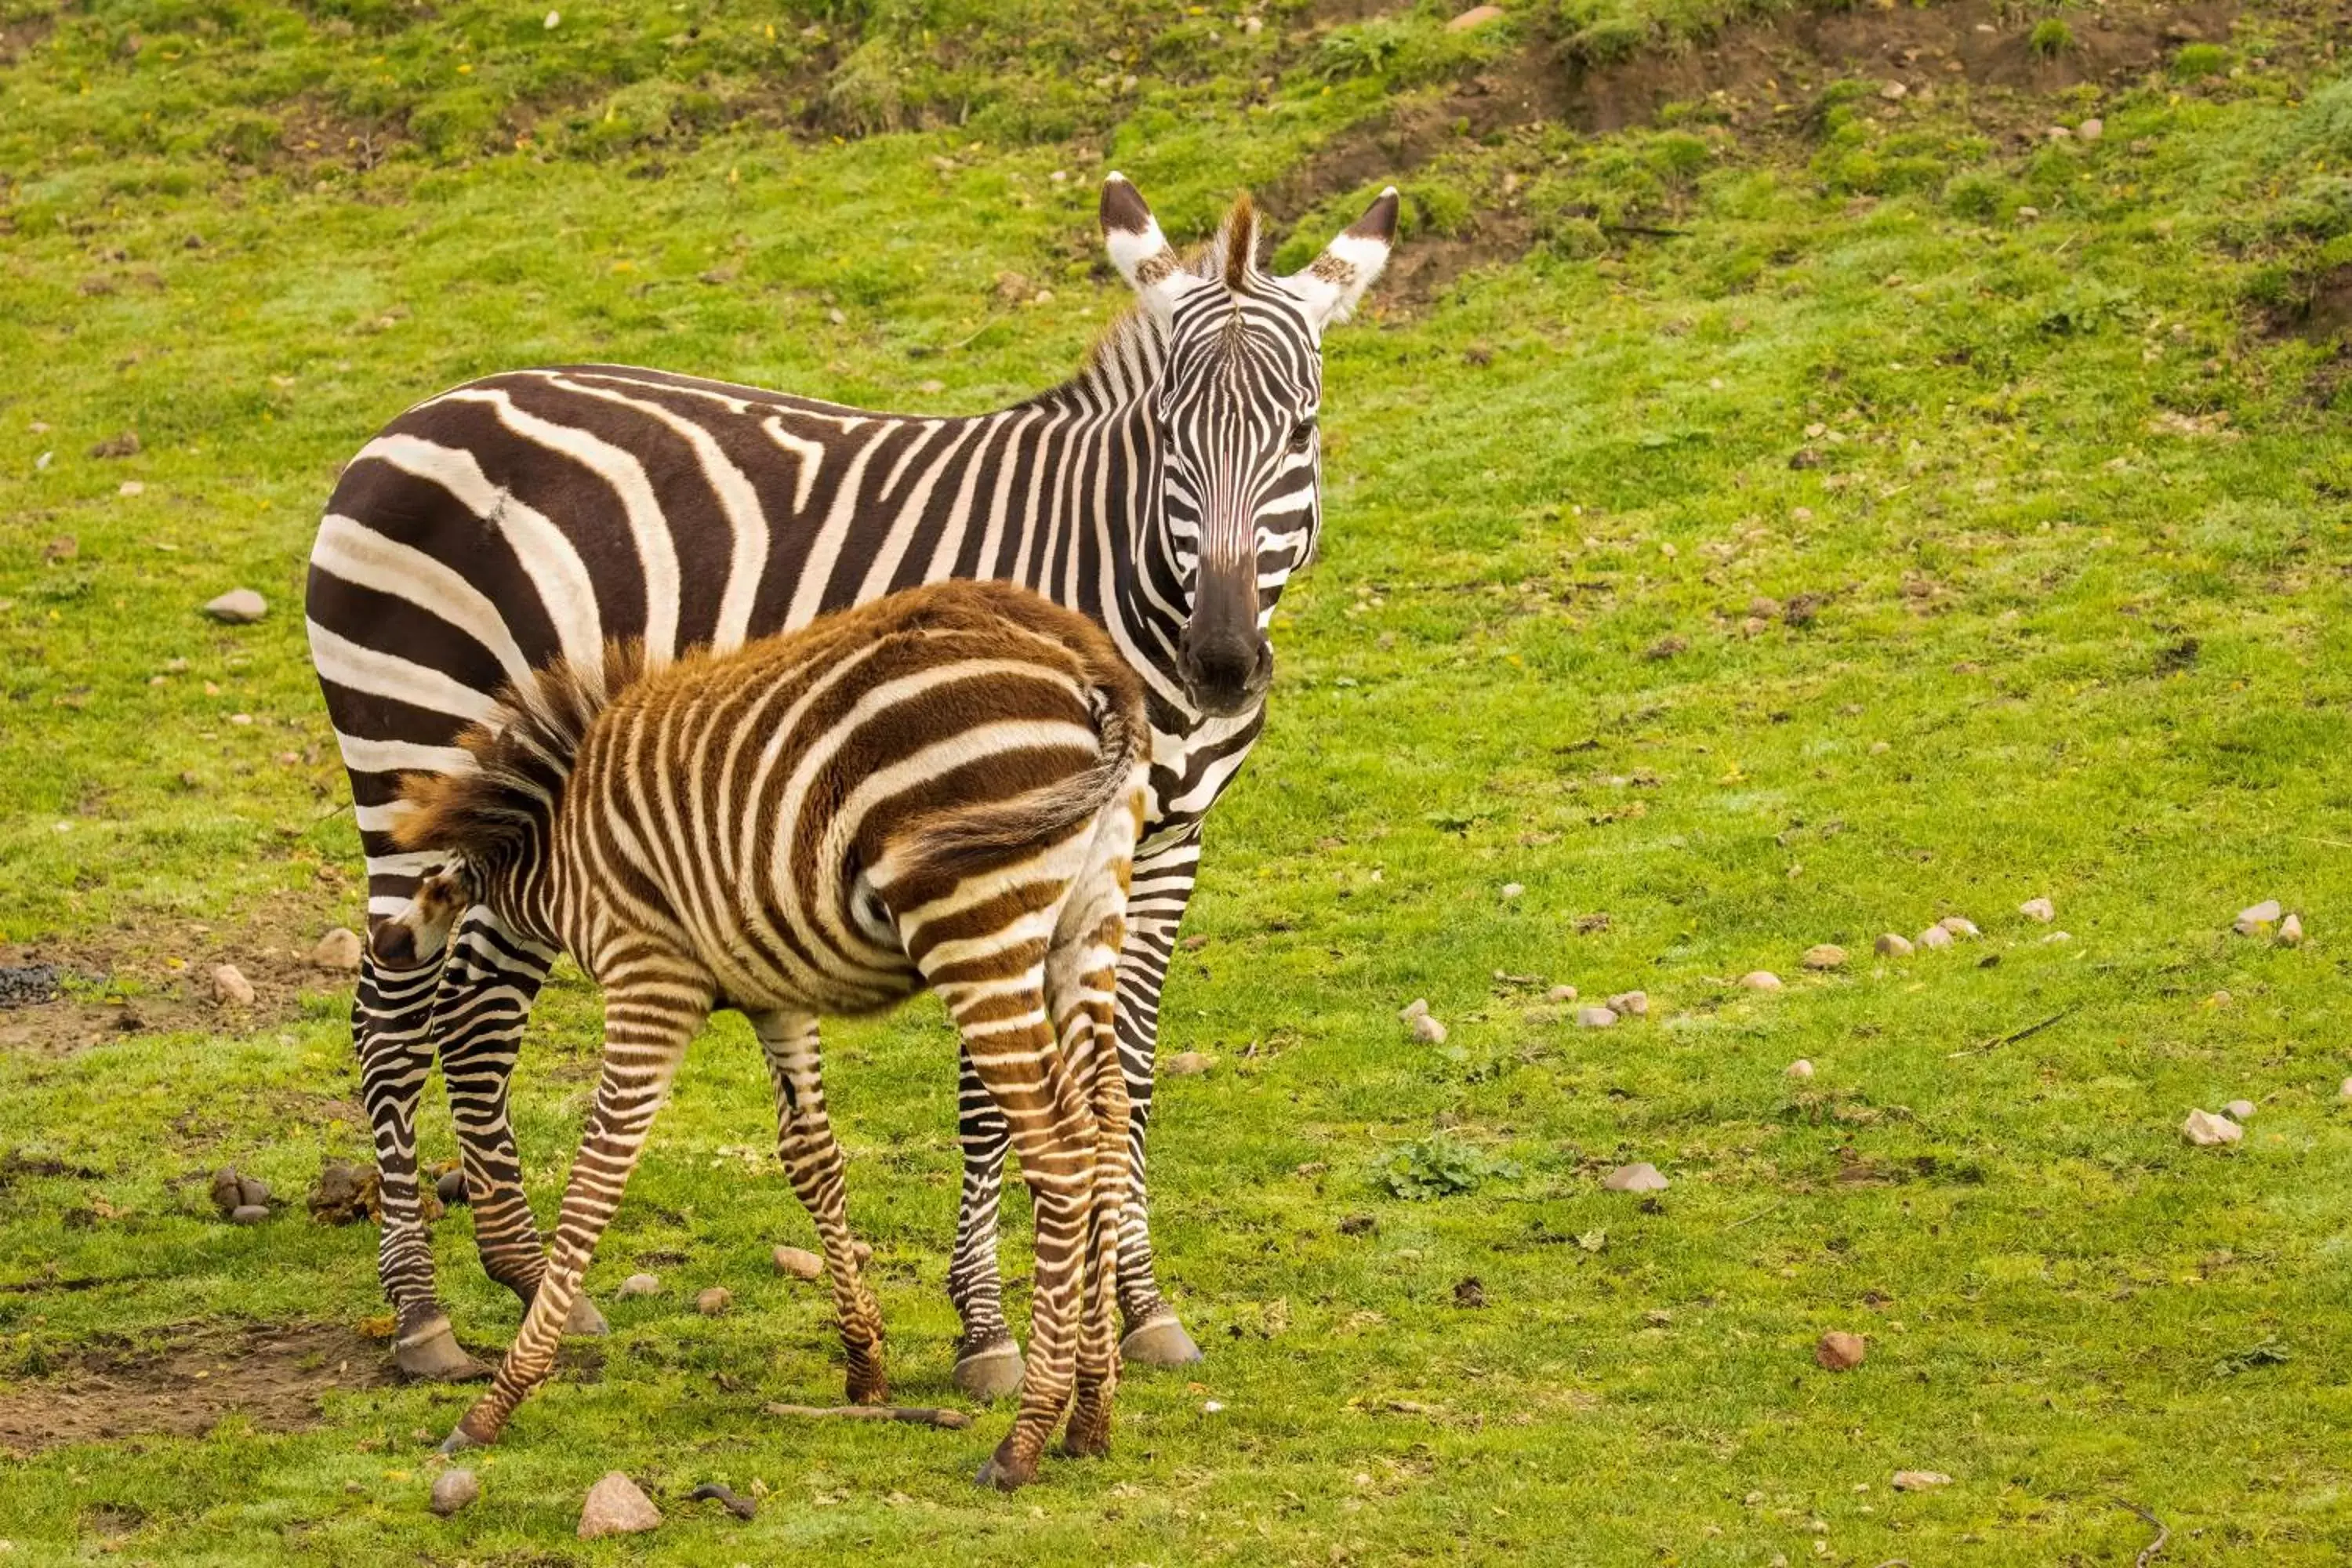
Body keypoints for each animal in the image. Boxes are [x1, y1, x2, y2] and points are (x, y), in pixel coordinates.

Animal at [301, 177, 1383, 1392]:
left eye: (1301, 432)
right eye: (1167, 437)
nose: (1225, 661)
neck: (1114, 576)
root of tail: (407, 422)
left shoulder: (1162, 844)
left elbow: (1127, 1081)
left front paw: (1140, 1306)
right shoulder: (988, 836)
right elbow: (989, 1097)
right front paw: (988, 1330)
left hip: (522, 787)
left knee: (476, 1010)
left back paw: (537, 1282)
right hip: (410, 754)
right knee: (389, 1020)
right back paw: (421, 1314)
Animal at [372, 583, 1152, 1495]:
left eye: (434, 886)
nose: (387, 945)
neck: (558, 847)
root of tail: (1088, 659)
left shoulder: (650, 976)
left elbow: (600, 1171)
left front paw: (498, 1400)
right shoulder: (774, 992)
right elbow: (810, 1157)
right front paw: (865, 1362)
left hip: (974, 922)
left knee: (1060, 1146)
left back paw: (1025, 1436)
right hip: (1089, 917)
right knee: (1106, 1125)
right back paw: (1092, 1414)